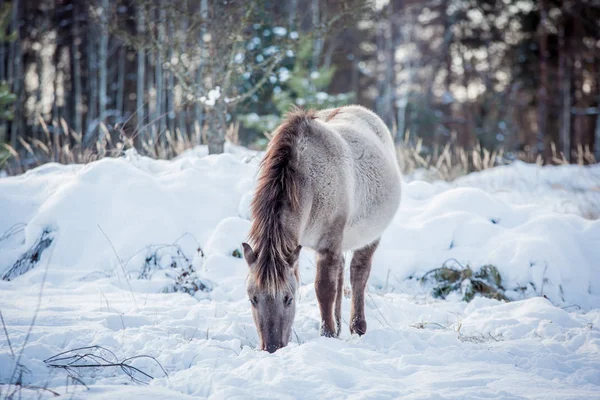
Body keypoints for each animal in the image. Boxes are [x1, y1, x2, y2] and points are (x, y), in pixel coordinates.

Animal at [241, 104, 400, 352]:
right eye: (253, 298)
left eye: (288, 298)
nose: (272, 347)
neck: (309, 183)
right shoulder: (303, 247)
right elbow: (331, 286)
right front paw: (332, 330)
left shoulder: (328, 243)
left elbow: (324, 289)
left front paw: (327, 334)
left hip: (370, 237)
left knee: (358, 275)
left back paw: (357, 327)